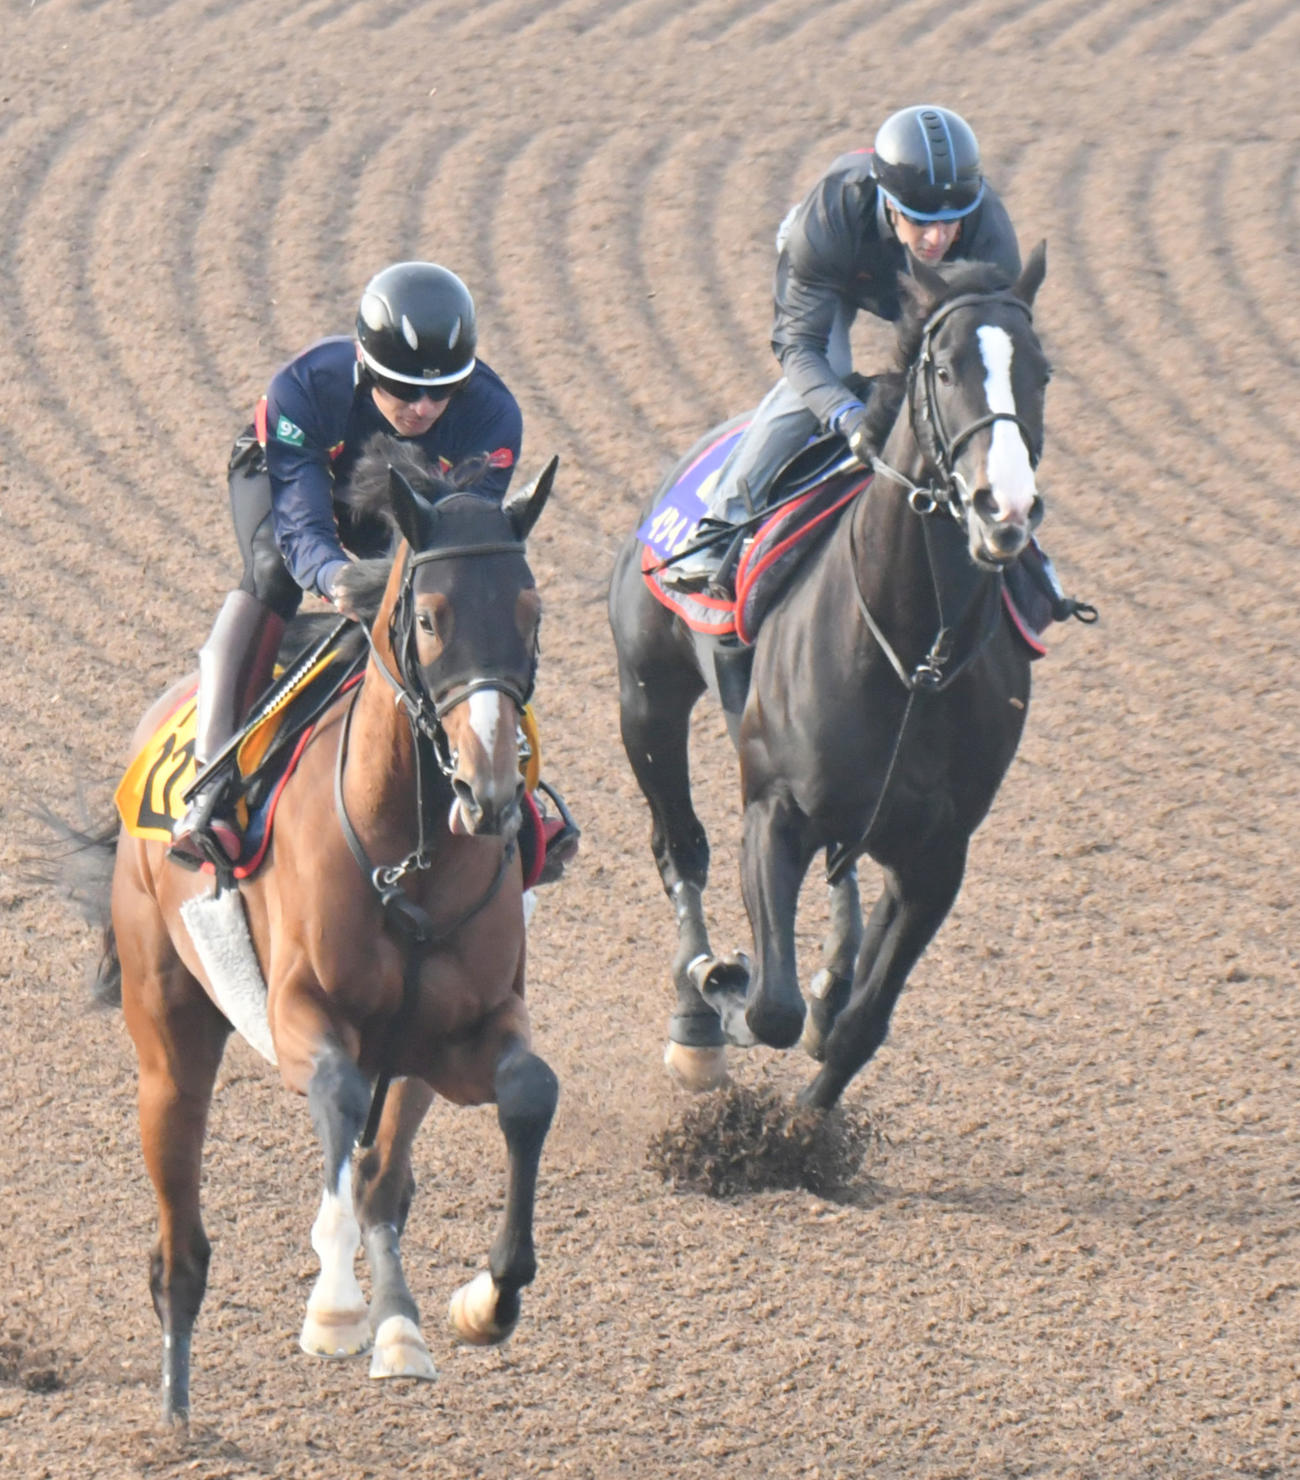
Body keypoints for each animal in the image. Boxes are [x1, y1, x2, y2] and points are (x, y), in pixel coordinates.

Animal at [71, 440, 560, 1424]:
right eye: (430, 617)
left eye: (531, 614)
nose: (490, 790)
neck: (409, 854)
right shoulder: (298, 1011)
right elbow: (334, 1094)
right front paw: (334, 1308)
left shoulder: (458, 1034)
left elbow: (529, 1092)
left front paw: (484, 1300)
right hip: (169, 1035)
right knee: (181, 1241)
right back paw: (175, 1409)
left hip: (406, 1065)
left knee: (381, 1183)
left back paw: (402, 1330)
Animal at [608, 246, 1051, 1110]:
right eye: (943, 368)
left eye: (1041, 371)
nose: (1004, 509)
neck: (912, 653)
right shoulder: (773, 809)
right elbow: (770, 1006)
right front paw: (730, 994)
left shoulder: (939, 857)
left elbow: (858, 1028)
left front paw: (812, 1114)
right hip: (647, 698)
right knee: (680, 849)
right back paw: (698, 1018)